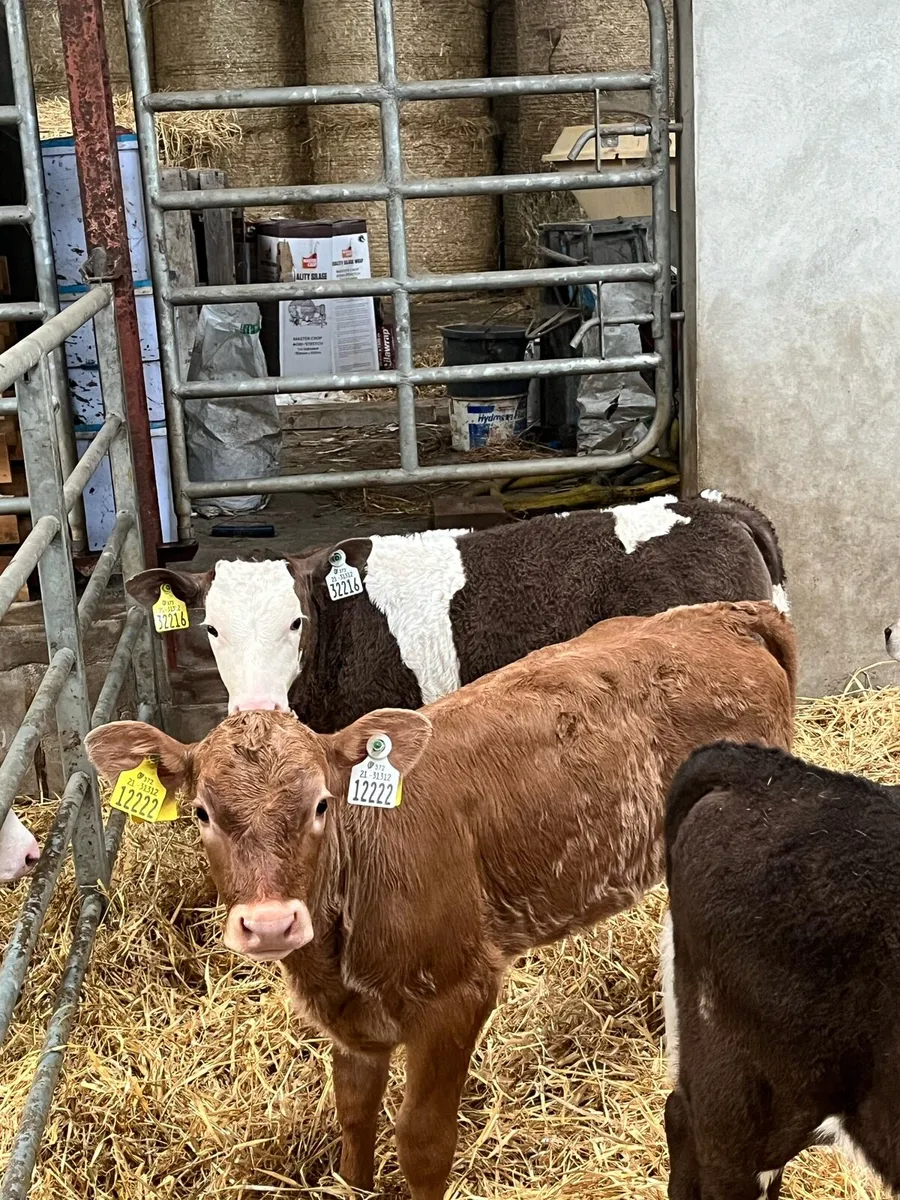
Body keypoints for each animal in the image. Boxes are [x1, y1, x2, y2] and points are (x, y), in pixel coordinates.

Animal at [86, 600, 795, 1200]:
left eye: (321, 804)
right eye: (201, 813)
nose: (269, 924)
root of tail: (727, 615)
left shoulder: (459, 993)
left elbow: (422, 1141)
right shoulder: (355, 1022)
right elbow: (354, 1113)